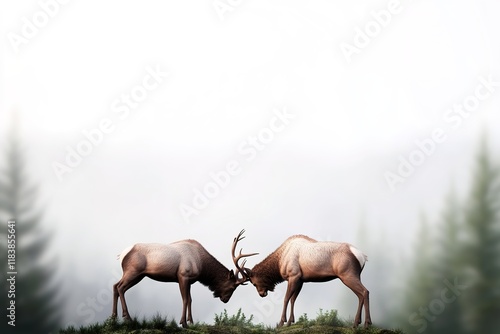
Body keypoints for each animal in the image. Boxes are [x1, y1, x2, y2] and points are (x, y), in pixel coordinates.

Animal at [111, 230, 256, 326]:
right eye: (232, 287)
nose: (225, 300)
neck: (202, 265)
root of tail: (121, 255)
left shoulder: (190, 281)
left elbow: (190, 300)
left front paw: (190, 321)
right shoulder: (183, 276)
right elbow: (185, 299)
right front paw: (183, 322)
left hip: (138, 275)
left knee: (115, 286)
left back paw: (114, 317)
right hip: (133, 271)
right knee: (120, 287)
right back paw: (127, 317)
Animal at [237, 235, 372, 328]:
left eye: (254, 283)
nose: (261, 294)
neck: (280, 262)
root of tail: (363, 256)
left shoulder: (293, 275)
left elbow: (286, 298)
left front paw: (281, 322)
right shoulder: (301, 280)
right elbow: (293, 299)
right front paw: (290, 321)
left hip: (347, 275)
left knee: (365, 291)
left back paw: (367, 323)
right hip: (355, 275)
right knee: (360, 295)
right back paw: (356, 323)